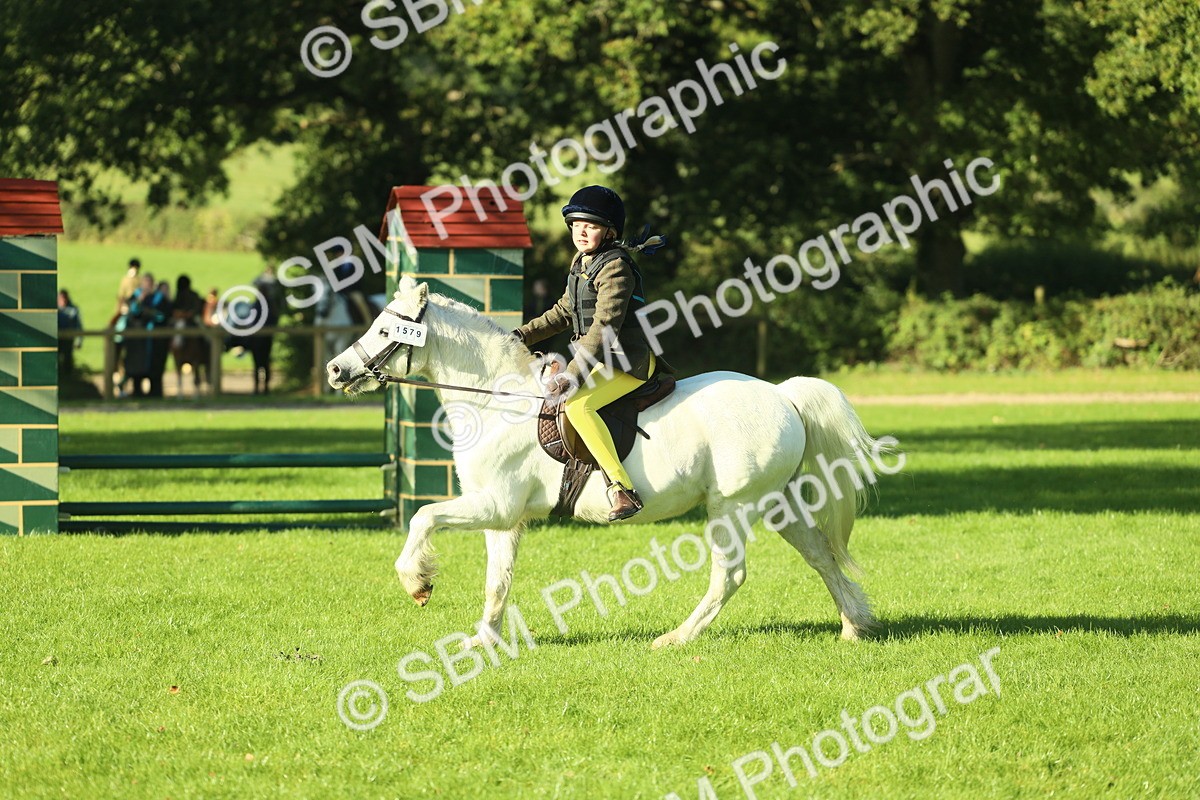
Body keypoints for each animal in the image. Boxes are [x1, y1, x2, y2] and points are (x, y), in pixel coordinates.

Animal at [326, 276, 884, 648]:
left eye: (385, 331)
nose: (336, 370)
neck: (498, 401)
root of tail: (781, 395)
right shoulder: (504, 518)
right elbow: (497, 580)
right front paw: (485, 642)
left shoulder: (495, 503)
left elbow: (423, 517)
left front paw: (417, 583)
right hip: (778, 504)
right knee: (821, 555)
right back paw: (854, 627)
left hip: (733, 506)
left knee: (731, 574)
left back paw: (676, 639)